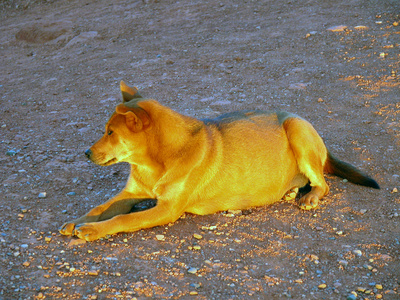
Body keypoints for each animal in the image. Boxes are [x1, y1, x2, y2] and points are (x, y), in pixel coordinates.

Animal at [57, 81, 380, 241]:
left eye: (110, 132)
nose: (86, 153)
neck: (155, 161)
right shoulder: (131, 193)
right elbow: (101, 208)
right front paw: (77, 221)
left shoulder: (166, 209)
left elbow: (123, 219)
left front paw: (92, 231)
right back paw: (292, 189)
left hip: (297, 130)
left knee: (324, 183)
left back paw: (310, 195)